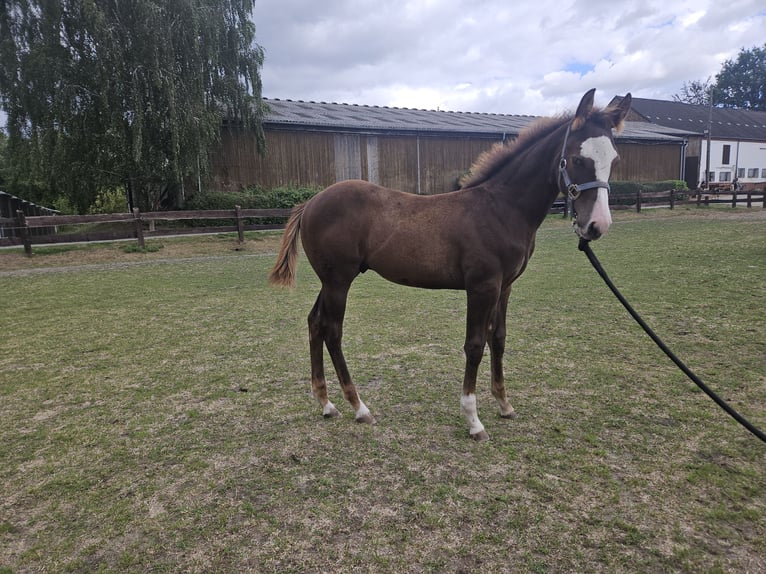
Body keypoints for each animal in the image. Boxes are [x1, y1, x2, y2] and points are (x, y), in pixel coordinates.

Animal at [269, 89, 632, 441]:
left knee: (315, 323)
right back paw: (359, 407)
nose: (597, 226)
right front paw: (474, 421)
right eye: (578, 158)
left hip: (330, 281)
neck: (500, 209)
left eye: (614, 159)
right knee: (332, 331)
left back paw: (326, 404)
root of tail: (310, 203)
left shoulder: (505, 287)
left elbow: (498, 338)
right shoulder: (482, 287)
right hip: (338, 281)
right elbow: (474, 345)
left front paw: (504, 404)